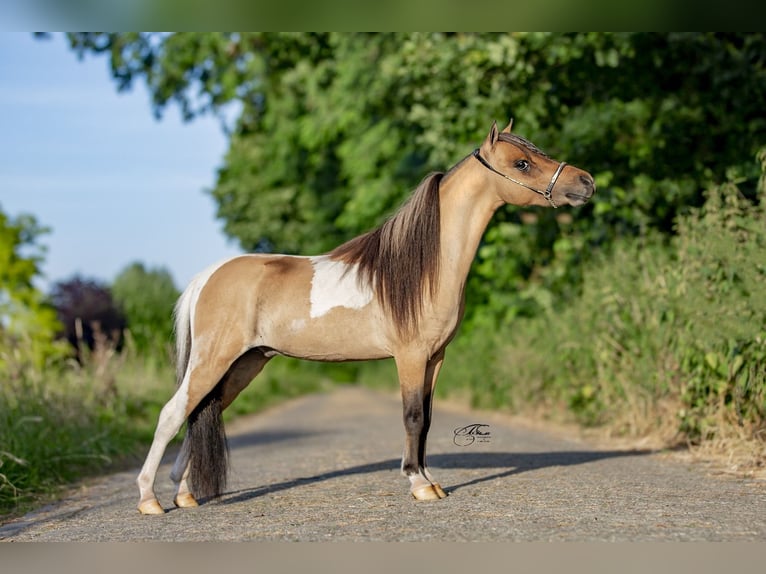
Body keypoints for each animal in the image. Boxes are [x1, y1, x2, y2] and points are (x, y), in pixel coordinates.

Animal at [136, 120, 595, 514]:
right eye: (522, 163)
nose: (586, 182)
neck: (423, 268)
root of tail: (207, 277)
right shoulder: (409, 356)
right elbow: (412, 416)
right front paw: (418, 484)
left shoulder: (435, 359)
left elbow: (427, 420)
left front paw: (431, 480)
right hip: (213, 359)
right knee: (172, 413)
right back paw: (149, 499)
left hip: (244, 364)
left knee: (199, 413)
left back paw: (184, 495)